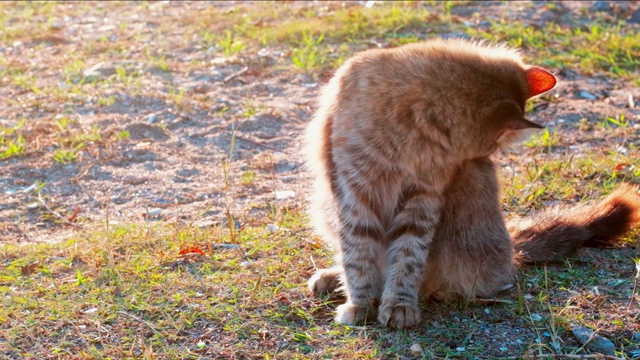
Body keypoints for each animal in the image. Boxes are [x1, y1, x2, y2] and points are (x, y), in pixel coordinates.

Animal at [304, 38, 640, 330]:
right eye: (494, 144)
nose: (486, 157)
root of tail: (512, 250)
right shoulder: (355, 191)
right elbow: (358, 255)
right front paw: (361, 304)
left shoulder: (423, 195)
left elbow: (407, 256)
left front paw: (399, 304)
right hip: (326, 206)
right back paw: (333, 278)